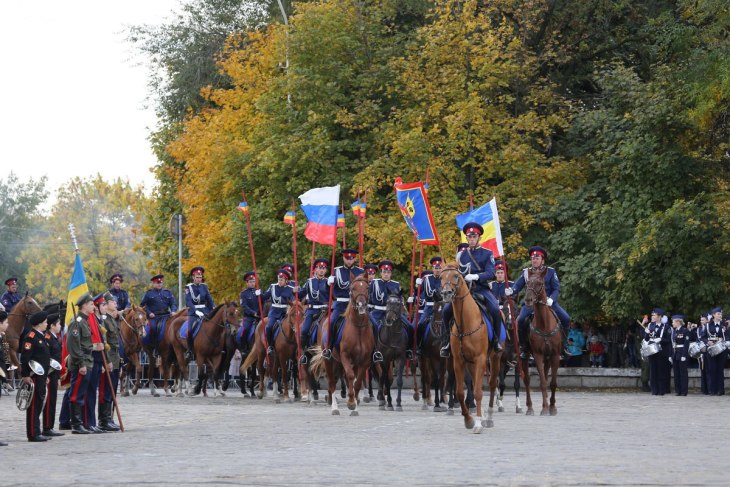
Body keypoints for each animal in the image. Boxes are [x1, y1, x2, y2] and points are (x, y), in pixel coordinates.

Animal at [308, 276, 372, 418]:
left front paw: (354, 407)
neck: (358, 327)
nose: (361, 305)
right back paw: (334, 408)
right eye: (353, 289)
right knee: (332, 382)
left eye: (367, 288)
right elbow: (350, 376)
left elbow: (357, 382)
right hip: (329, 360)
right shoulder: (345, 356)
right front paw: (351, 403)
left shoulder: (364, 361)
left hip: (340, 363)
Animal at [438, 266, 500, 434]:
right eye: (441, 277)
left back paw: (489, 417)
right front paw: (469, 420)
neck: (464, 322)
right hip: (471, 364)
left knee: (492, 384)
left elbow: (478, 392)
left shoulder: (480, 359)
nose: (446, 293)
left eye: (456, 276)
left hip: (494, 358)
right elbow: (460, 392)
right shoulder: (458, 361)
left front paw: (477, 424)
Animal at [516, 264, 556, 418]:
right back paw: (530, 408)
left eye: (540, 283)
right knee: (527, 380)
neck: (544, 324)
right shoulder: (538, 355)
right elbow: (543, 383)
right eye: (527, 283)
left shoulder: (555, 355)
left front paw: (552, 408)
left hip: (548, 358)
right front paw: (544, 408)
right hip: (525, 356)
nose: (528, 301)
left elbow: (552, 383)